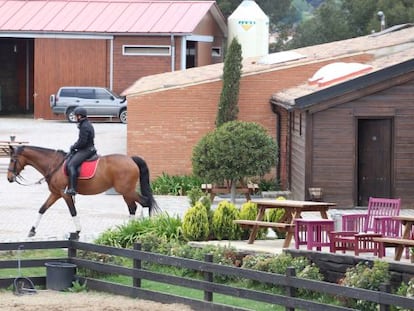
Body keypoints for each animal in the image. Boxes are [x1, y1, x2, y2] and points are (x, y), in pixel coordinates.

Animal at [7, 145, 162, 238]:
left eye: (13, 160)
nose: (9, 178)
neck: (54, 165)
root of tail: (131, 159)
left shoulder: (65, 194)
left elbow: (73, 211)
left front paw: (77, 231)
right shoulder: (55, 194)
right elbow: (42, 209)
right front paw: (32, 230)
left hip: (126, 190)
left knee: (144, 202)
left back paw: (143, 227)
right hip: (126, 192)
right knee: (133, 207)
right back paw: (130, 229)